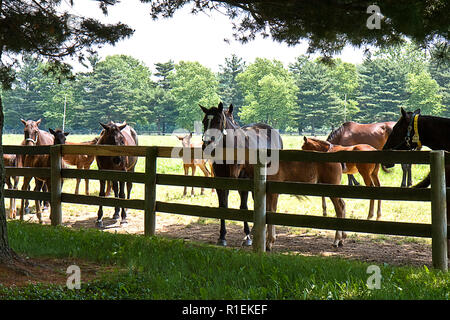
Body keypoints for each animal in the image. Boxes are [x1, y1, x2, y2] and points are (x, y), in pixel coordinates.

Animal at [200, 101, 284, 246]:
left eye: (218, 121)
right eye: (204, 121)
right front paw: (222, 237)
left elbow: (243, 207)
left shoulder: (242, 182)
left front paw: (248, 236)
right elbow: (223, 206)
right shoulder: (220, 182)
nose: (206, 145)